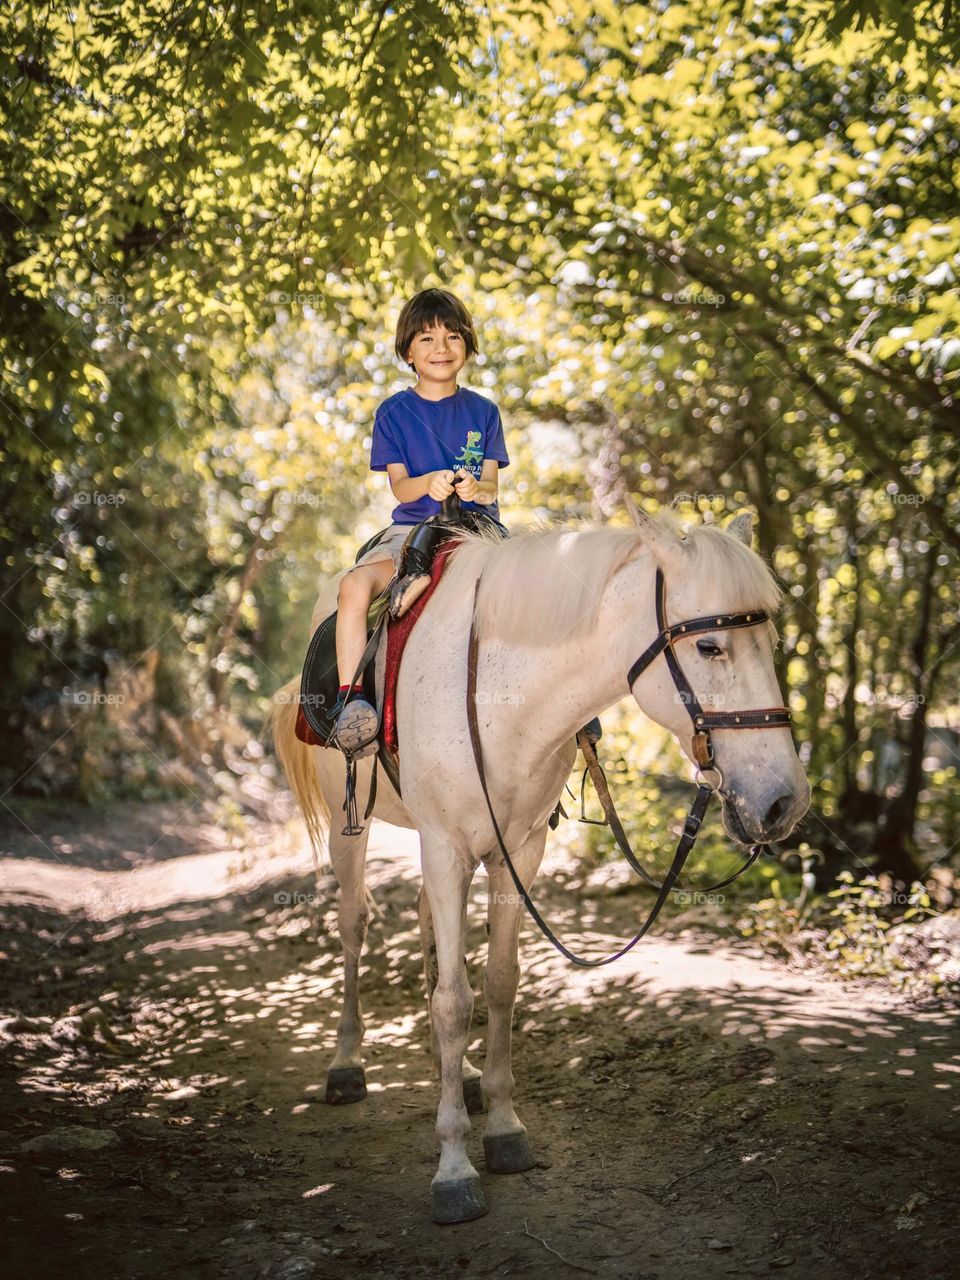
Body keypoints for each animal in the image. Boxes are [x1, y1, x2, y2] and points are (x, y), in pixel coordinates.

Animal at [271, 504, 814, 1223]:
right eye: (709, 648)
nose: (784, 801)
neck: (501, 697)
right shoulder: (446, 846)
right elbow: (454, 1002)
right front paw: (453, 1167)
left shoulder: (517, 852)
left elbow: (498, 983)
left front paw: (502, 1126)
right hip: (347, 825)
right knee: (355, 923)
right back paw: (346, 1063)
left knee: (424, 922)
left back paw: (457, 1074)